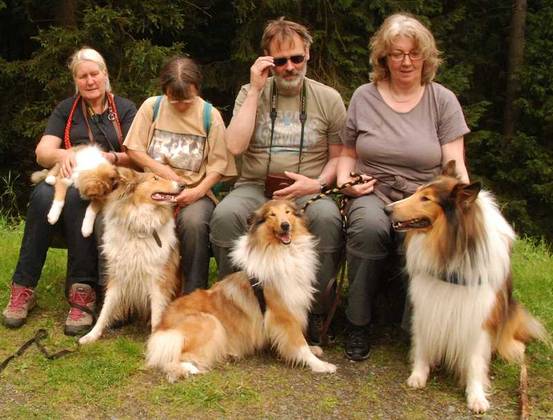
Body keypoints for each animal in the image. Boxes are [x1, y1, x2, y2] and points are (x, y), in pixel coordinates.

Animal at [79, 168, 183, 344]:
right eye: (155, 178)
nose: (183, 185)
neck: (139, 231)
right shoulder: (118, 275)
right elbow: (106, 309)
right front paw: (92, 335)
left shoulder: (158, 281)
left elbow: (156, 316)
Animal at [146, 200, 336, 382]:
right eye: (272, 215)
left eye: (288, 212)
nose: (285, 225)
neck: (283, 251)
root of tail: (161, 328)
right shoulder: (283, 314)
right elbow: (298, 343)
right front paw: (320, 365)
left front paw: (314, 349)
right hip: (210, 322)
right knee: (174, 361)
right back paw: (192, 369)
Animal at [387, 161, 548, 413]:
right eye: (417, 192)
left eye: (426, 199)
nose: (388, 209)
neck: (451, 250)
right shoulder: (427, 303)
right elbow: (423, 343)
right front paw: (418, 375)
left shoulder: (478, 314)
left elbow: (474, 361)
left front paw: (476, 396)